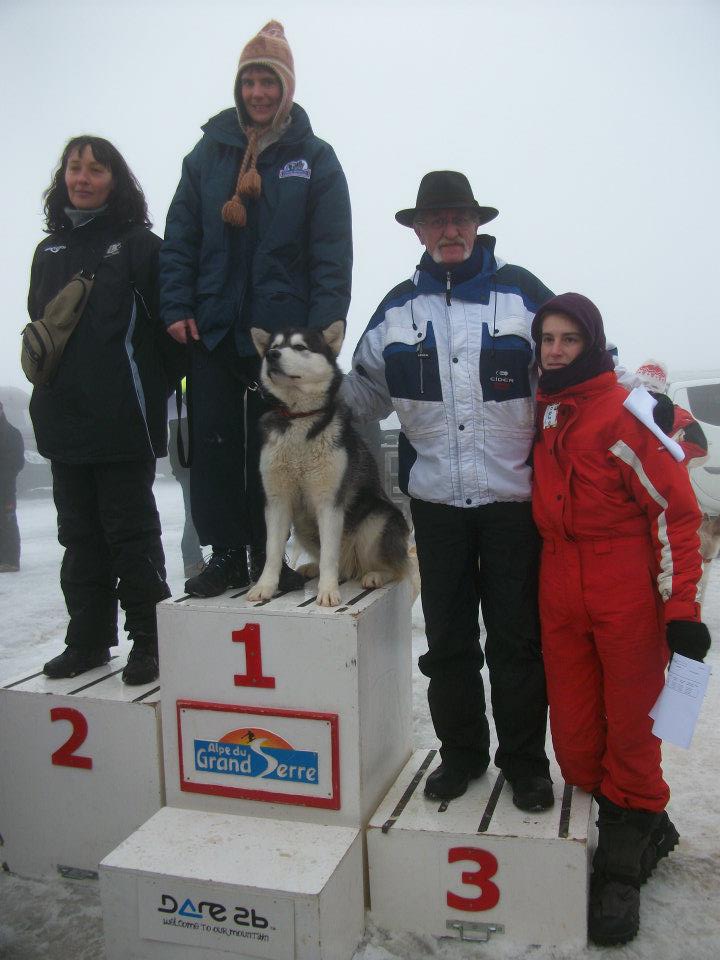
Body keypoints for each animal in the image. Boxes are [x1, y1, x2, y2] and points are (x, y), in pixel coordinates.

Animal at [246, 322, 408, 608]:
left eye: (300, 347)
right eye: (273, 346)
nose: (272, 355)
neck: (299, 417)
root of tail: (353, 565)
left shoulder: (329, 501)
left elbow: (330, 555)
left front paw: (328, 591)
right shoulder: (277, 500)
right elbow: (272, 550)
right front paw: (265, 587)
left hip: (376, 521)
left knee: (392, 567)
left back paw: (375, 574)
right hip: (302, 525)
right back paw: (313, 567)